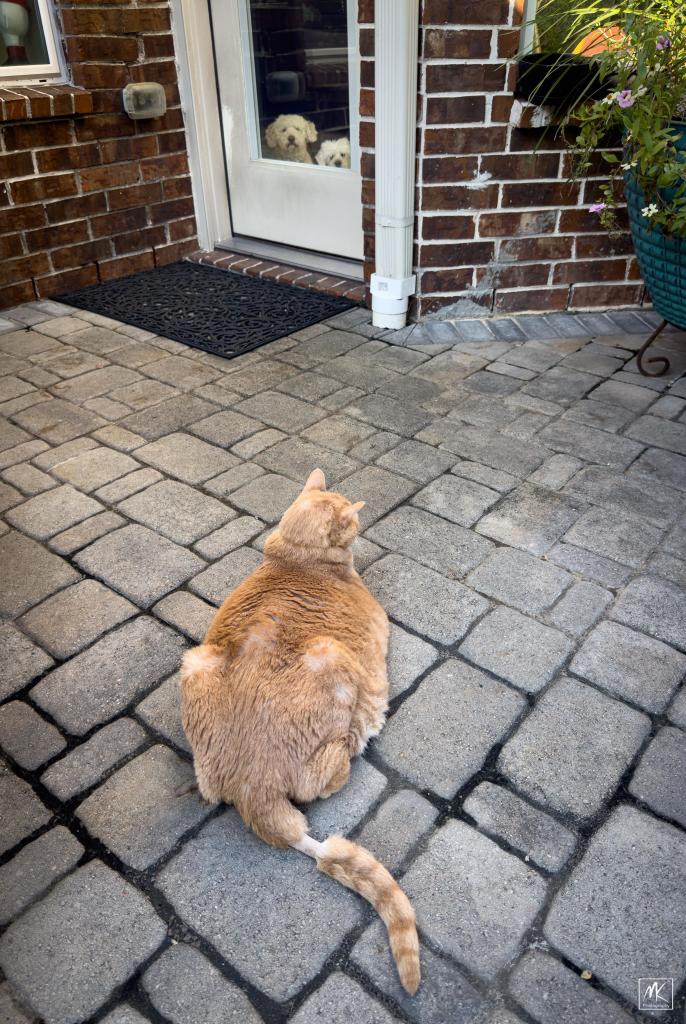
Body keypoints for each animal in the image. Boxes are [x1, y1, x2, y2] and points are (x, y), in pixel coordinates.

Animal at [180, 468, 421, 991]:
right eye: (354, 524)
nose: (362, 531)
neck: (294, 557)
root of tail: (255, 794)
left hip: (194, 663)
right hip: (334, 661)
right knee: (332, 773)